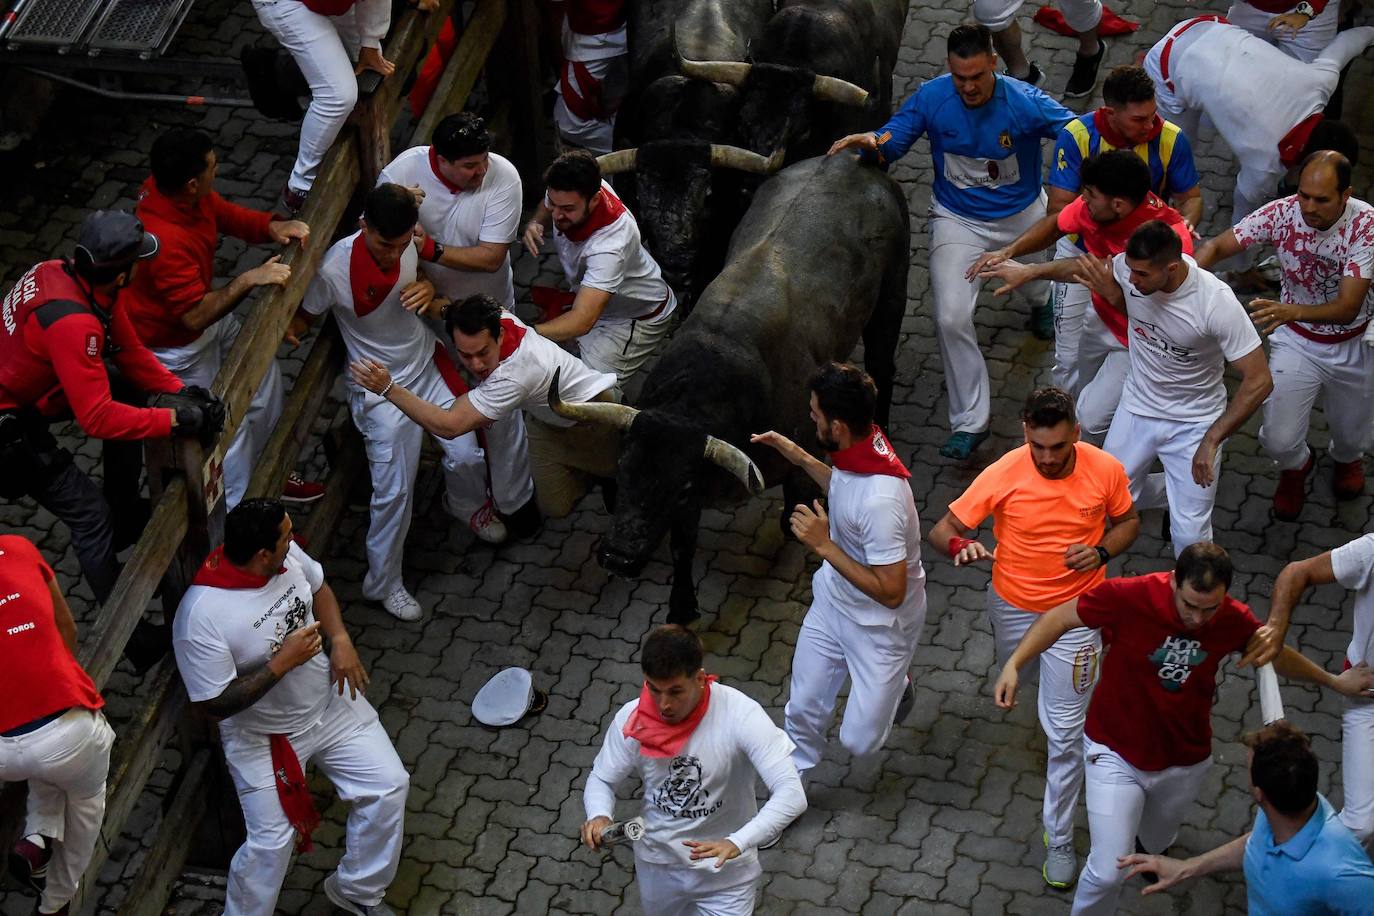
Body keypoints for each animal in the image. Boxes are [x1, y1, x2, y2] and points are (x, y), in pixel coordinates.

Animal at [546, 155, 912, 623]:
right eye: (623, 467)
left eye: (681, 485)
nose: (619, 557)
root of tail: (848, 159)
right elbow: (682, 546)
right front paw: (682, 606)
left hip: (893, 294)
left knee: (883, 364)